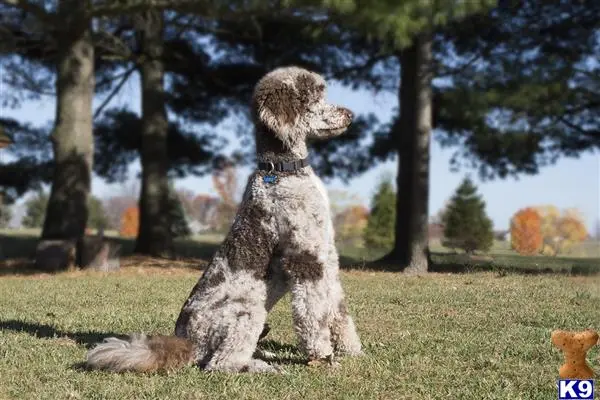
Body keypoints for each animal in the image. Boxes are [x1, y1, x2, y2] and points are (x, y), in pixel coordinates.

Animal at [85, 66, 360, 376]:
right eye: (315, 97)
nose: (350, 114)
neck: (284, 171)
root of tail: (188, 341)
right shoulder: (305, 258)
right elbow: (313, 314)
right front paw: (323, 355)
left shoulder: (327, 257)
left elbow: (337, 309)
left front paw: (351, 348)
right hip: (247, 311)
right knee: (220, 364)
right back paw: (264, 367)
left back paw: (266, 355)